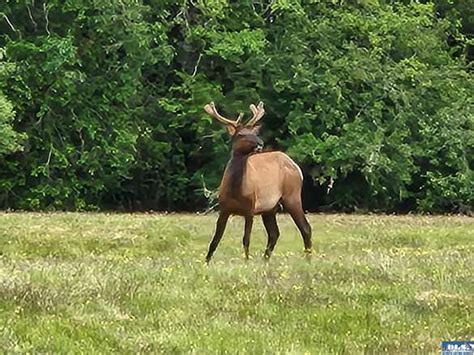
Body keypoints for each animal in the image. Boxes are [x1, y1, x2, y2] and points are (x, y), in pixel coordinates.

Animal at [203, 101, 312, 262]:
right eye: (240, 134)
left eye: (254, 133)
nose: (260, 143)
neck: (235, 190)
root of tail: (296, 167)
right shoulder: (224, 208)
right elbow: (215, 240)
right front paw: (206, 262)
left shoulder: (250, 208)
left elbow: (246, 239)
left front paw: (246, 261)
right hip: (269, 207)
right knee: (274, 233)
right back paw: (265, 260)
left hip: (292, 196)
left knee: (305, 228)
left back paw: (308, 259)